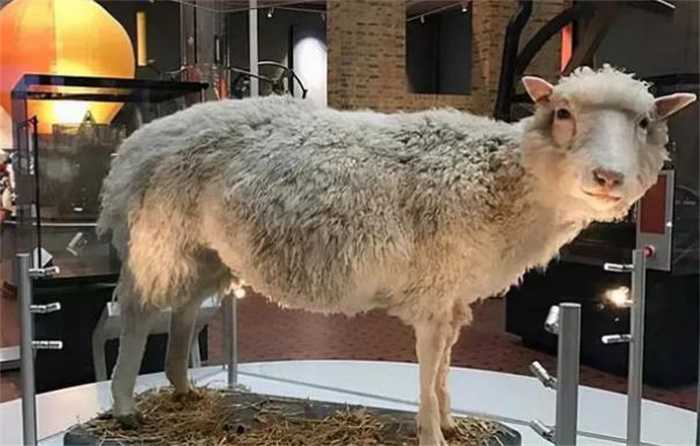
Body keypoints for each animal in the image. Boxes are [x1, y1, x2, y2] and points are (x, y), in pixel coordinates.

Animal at [97, 65, 695, 445]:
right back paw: (126, 408)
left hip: (204, 252)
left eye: (645, 123)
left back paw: (181, 391)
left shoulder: (451, 293)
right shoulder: (432, 291)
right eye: (564, 113)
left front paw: (451, 422)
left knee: (182, 313)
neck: (501, 179)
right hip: (158, 238)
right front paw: (432, 433)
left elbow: (447, 363)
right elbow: (429, 366)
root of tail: (134, 145)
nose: (608, 178)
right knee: (139, 315)